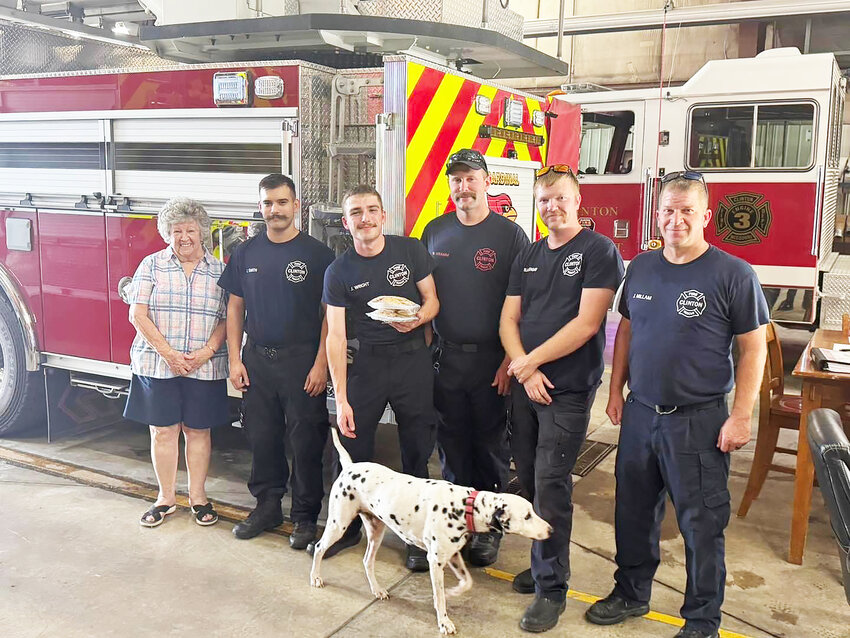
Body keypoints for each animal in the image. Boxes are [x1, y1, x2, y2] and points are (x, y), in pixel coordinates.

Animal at [310, 430, 548, 636]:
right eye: (527, 516)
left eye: (532, 511)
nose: (550, 529)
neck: (464, 506)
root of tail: (349, 467)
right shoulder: (436, 561)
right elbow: (439, 597)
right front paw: (444, 622)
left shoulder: (453, 556)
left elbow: (467, 582)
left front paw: (453, 592)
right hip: (338, 524)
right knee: (320, 548)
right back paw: (316, 577)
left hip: (375, 532)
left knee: (367, 561)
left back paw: (377, 590)